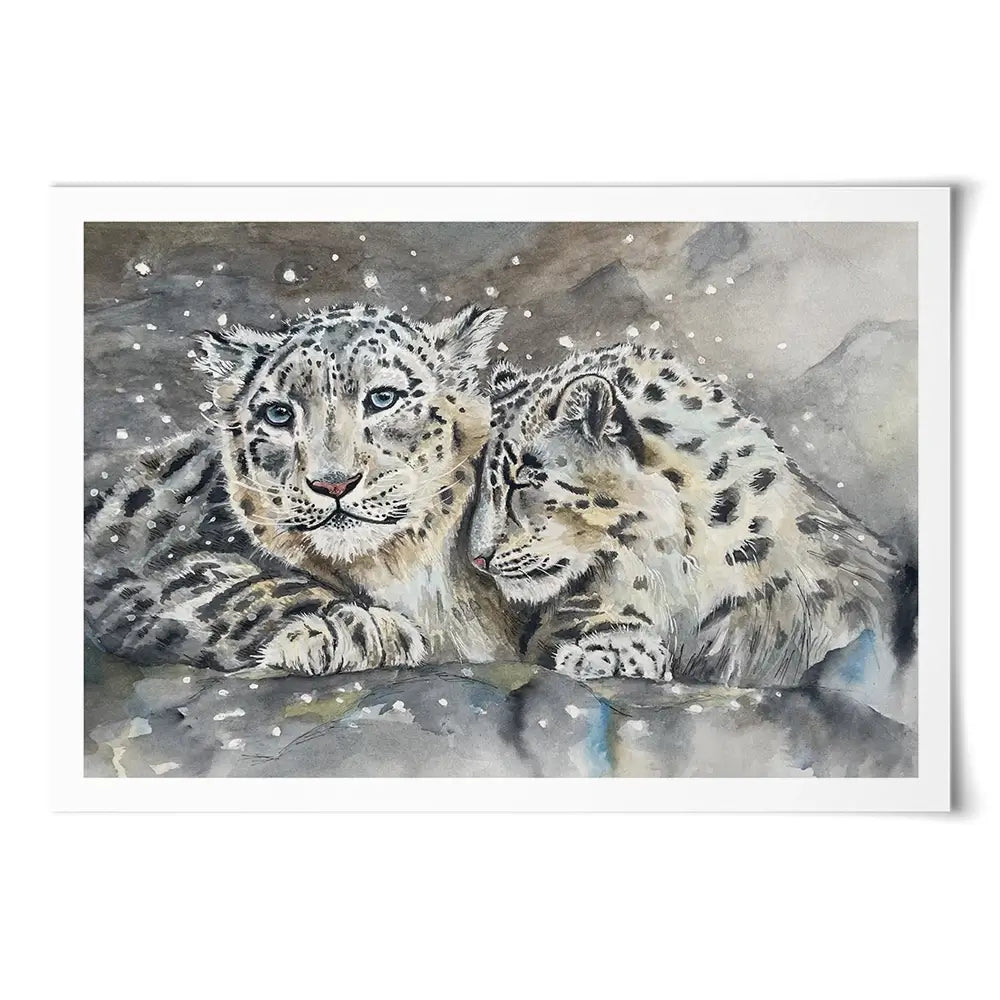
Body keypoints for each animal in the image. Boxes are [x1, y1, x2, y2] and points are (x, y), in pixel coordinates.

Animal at [85, 302, 522, 676]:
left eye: (383, 398)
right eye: (278, 414)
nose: (333, 483)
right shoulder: (141, 568)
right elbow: (240, 589)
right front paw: (357, 629)